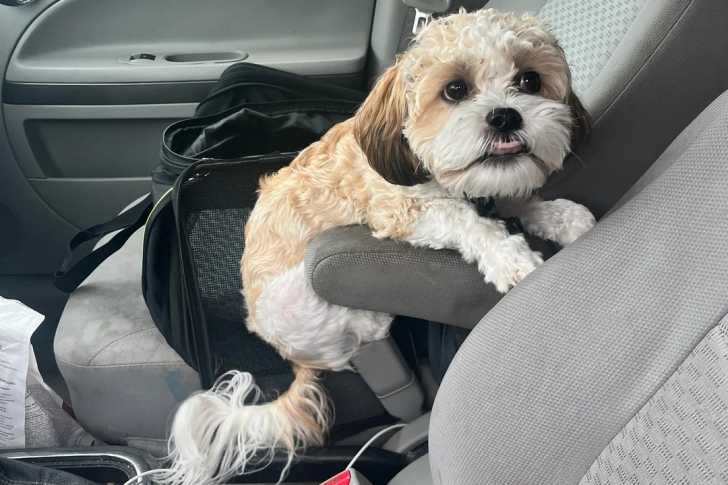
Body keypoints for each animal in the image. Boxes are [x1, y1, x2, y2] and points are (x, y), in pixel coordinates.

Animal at [164, 8, 596, 484]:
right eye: (455, 89)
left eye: (530, 80)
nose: (505, 116)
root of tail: (289, 354)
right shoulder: (403, 209)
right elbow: (467, 221)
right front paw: (510, 255)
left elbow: (518, 200)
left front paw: (561, 216)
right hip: (309, 293)